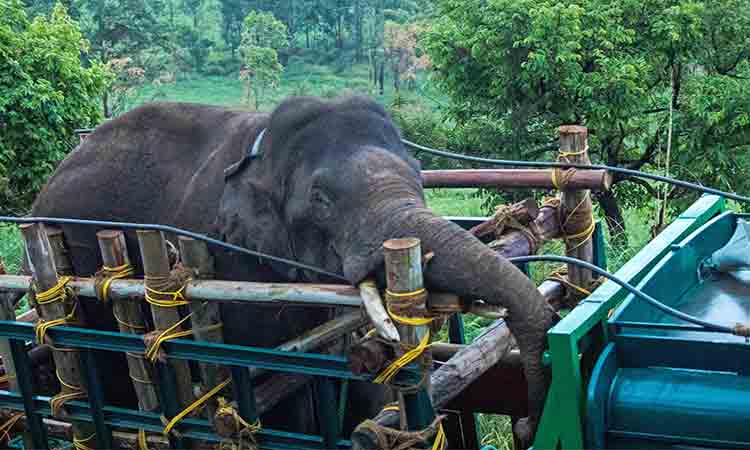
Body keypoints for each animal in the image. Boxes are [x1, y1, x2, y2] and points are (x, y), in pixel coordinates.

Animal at [27, 96, 560, 446]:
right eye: (321, 200)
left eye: (419, 176)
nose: (525, 425)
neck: (262, 149)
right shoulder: (230, 261)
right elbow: (277, 388)